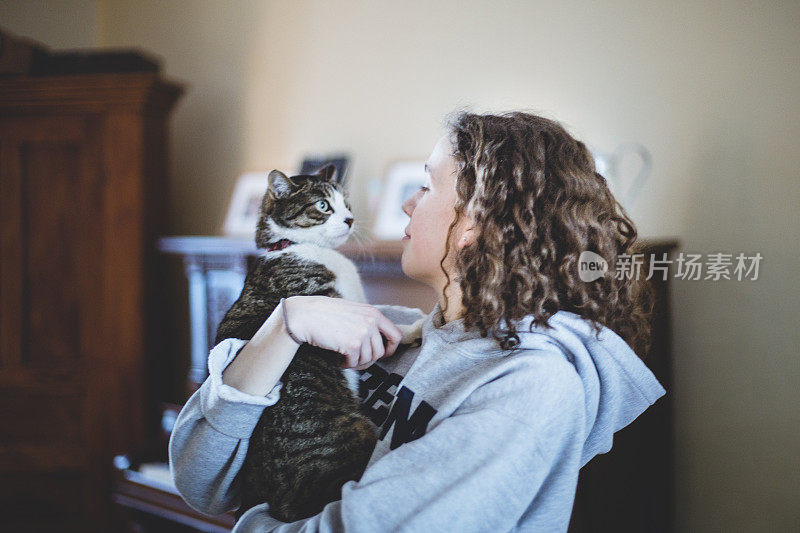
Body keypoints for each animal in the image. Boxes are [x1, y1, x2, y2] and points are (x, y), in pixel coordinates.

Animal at [214, 164, 412, 520]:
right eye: (323, 206)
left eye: (346, 203)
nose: (349, 219)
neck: (301, 248)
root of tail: (280, 502)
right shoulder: (344, 318)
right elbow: (383, 325)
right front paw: (417, 328)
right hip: (358, 431)